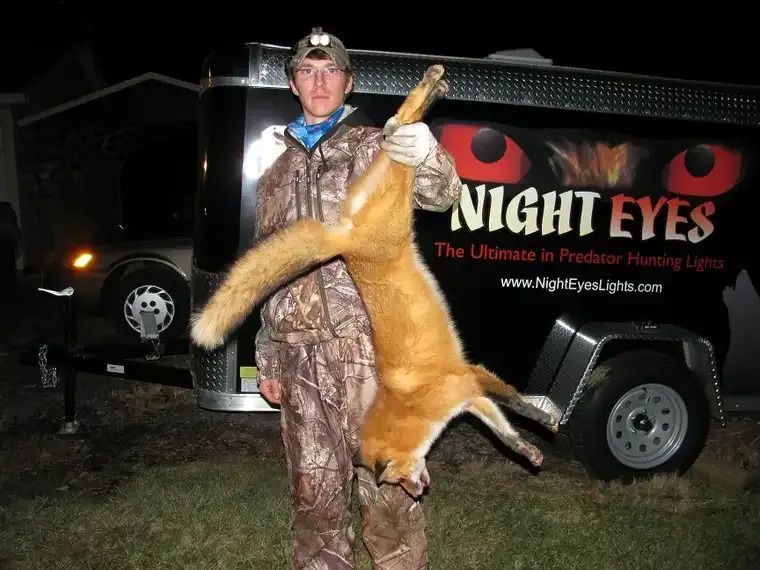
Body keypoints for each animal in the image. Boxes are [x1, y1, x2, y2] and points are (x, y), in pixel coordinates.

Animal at [190, 64, 559, 497]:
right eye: (399, 481)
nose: (418, 492)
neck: (416, 410)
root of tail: (346, 241)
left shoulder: (469, 380)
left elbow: (516, 406)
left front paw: (542, 419)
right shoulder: (469, 391)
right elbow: (506, 431)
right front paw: (529, 448)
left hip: (395, 199)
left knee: (400, 122)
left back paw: (426, 94)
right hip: (387, 195)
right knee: (397, 124)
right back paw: (430, 89)